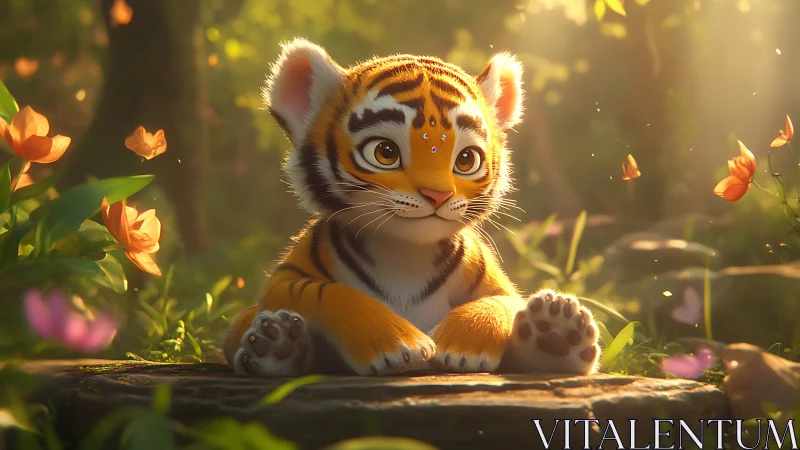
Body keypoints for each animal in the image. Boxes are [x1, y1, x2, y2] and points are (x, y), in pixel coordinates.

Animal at [223, 38, 601, 377]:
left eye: (466, 159)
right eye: (385, 153)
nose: (437, 195)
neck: (405, 254)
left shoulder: (499, 287)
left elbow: (499, 303)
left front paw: (461, 347)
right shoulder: (285, 280)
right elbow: (331, 294)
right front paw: (399, 345)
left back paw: (556, 332)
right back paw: (276, 344)